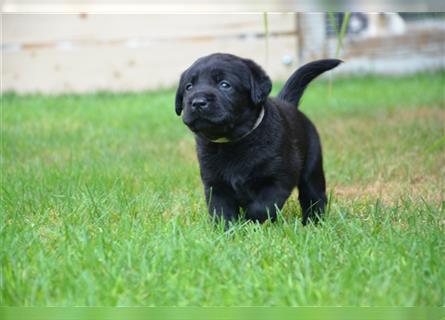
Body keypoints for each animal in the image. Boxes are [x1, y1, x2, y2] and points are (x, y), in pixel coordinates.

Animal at [174, 52, 340, 225]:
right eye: (188, 87)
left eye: (225, 84)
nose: (197, 102)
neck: (232, 142)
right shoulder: (214, 183)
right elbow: (220, 210)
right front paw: (227, 229)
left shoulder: (278, 180)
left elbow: (261, 207)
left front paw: (250, 224)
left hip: (312, 166)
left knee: (313, 196)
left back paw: (313, 222)